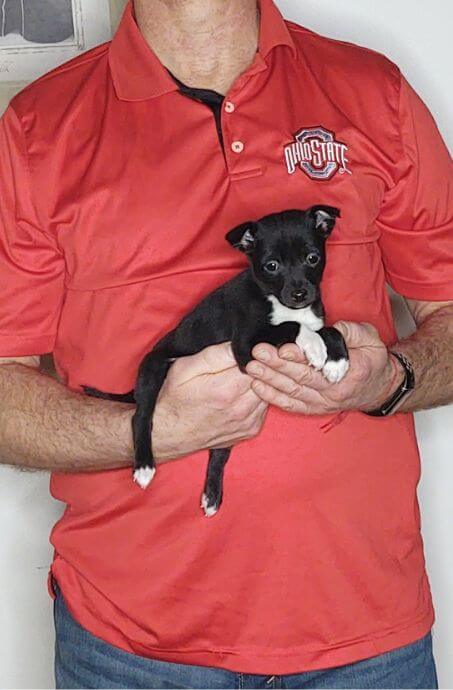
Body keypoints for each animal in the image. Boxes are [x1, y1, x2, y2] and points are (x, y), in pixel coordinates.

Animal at [84, 206, 346, 516]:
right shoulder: (246, 347)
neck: (276, 300)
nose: (299, 294)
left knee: (218, 451)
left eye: (312, 258)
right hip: (153, 371)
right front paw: (315, 346)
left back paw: (211, 495)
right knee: (141, 417)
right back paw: (145, 467)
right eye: (271, 266)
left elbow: (329, 329)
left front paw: (338, 359)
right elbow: (290, 326)